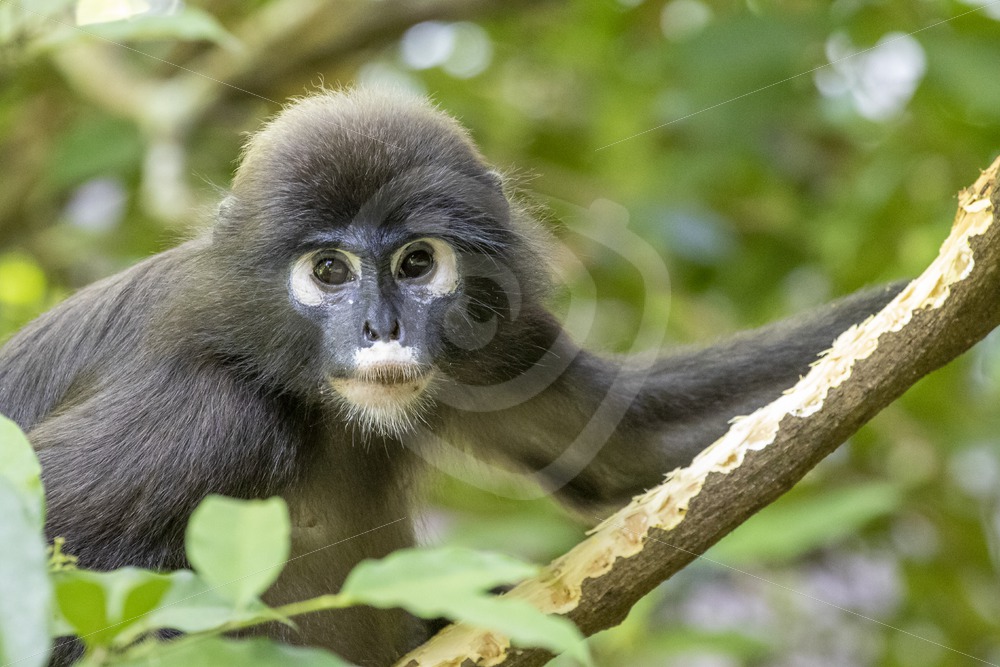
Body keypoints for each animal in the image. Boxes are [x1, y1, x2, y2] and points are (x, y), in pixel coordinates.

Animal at [0, 89, 901, 666]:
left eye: (416, 263)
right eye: (329, 270)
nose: (383, 329)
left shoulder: (494, 338)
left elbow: (628, 450)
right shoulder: (199, 410)